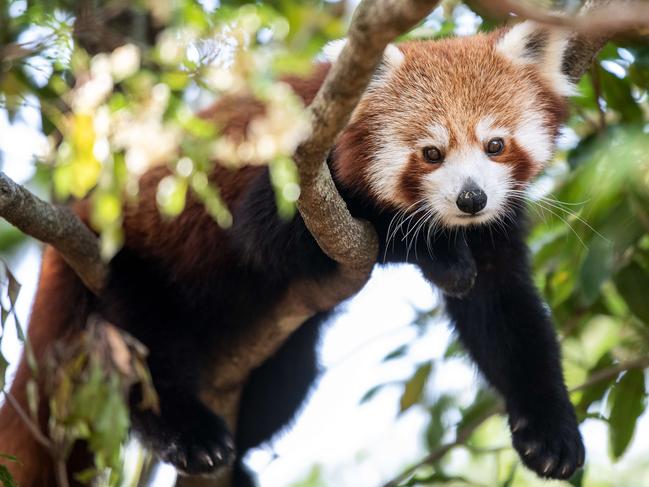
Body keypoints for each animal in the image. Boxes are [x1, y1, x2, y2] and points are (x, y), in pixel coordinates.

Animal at [0, 21, 584, 487]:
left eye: (495, 145)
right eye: (431, 153)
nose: (471, 199)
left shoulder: (497, 227)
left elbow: (505, 313)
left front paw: (550, 429)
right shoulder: (296, 172)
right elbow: (273, 238)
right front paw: (436, 251)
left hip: (280, 351)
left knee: (286, 382)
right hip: (127, 263)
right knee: (146, 345)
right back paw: (184, 430)